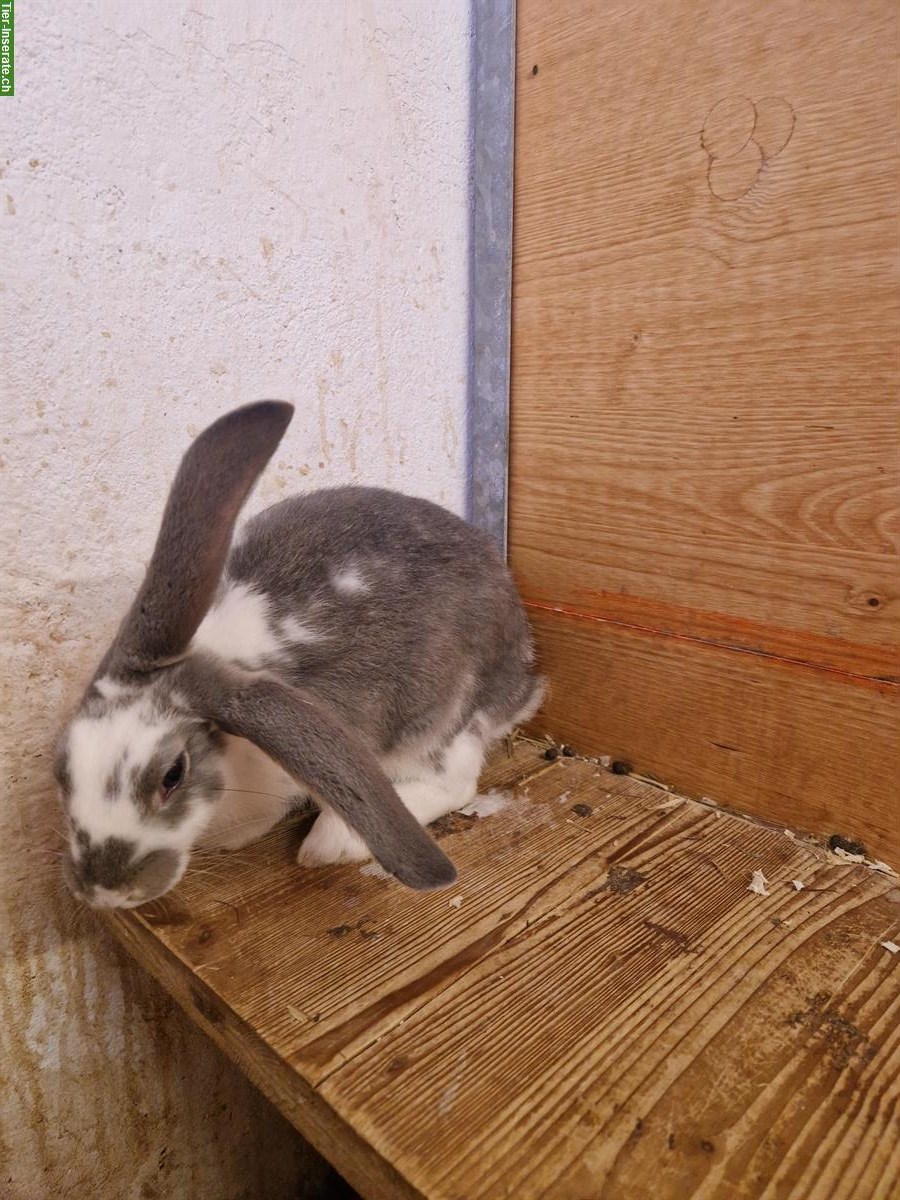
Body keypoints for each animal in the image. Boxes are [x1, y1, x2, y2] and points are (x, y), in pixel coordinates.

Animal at [55, 401, 545, 909]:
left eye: (173, 774)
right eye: (61, 770)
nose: (103, 892)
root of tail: (522, 678)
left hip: (443, 723)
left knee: (456, 782)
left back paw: (330, 842)